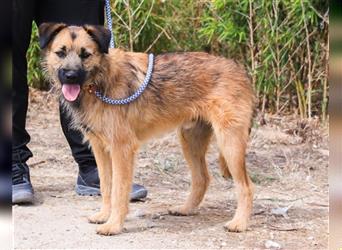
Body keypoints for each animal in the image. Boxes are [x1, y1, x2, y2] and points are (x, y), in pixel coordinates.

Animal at [39, 22, 254, 235]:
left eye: (85, 54)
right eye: (60, 53)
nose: (70, 76)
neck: (100, 81)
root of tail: (239, 69)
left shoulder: (121, 149)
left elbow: (119, 190)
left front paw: (114, 224)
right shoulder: (100, 148)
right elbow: (106, 185)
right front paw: (104, 215)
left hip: (229, 143)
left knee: (246, 186)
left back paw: (239, 223)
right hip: (190, 141)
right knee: (202, 179)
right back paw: (186, 209)